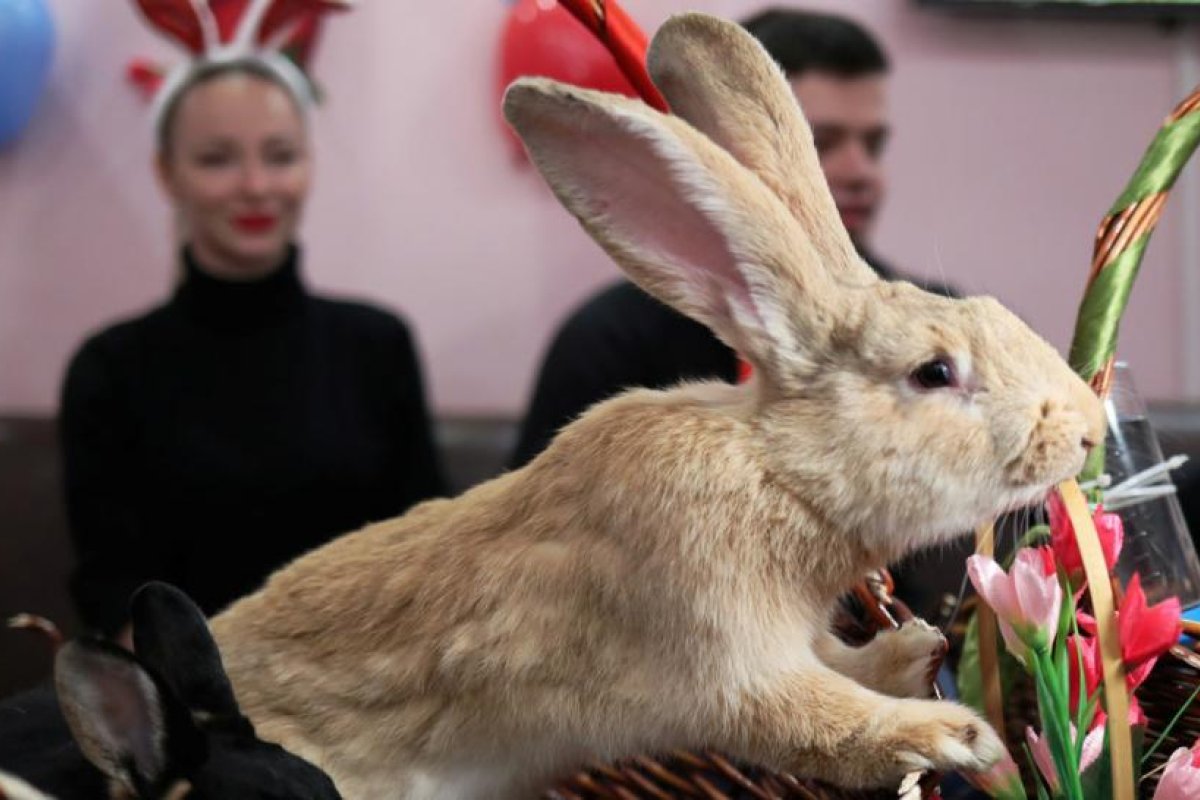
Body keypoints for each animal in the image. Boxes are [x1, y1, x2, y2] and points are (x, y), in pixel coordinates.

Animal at [209, 11, 1105, 800]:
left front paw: (910, 652)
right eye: (933, 372)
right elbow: (817, 719)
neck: (778, 472)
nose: (1089, 432)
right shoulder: (721, 658)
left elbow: (836, 664)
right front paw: (951, 734)